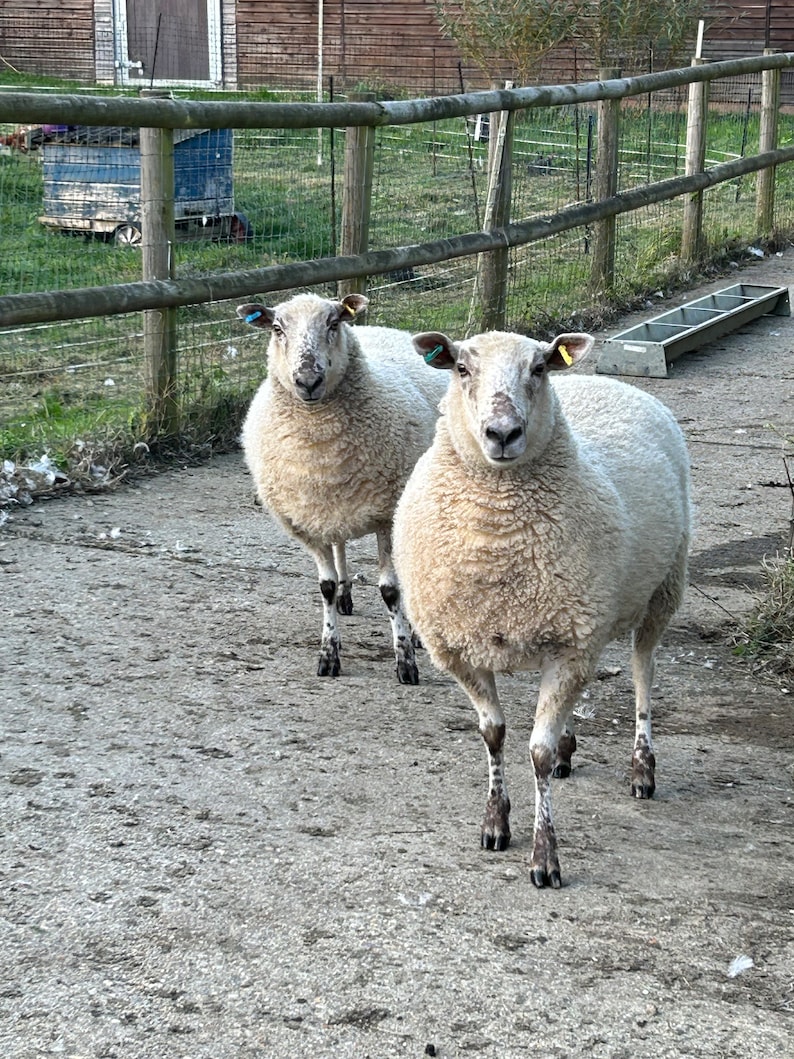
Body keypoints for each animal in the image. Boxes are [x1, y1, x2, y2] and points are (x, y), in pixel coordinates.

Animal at [237, 291, 448, 684]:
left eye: (333, 323)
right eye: (277, 328)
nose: (307, 380)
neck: (322, 445)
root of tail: (374, 326)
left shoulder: (386, 516)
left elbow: (390, 591)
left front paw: (405, 659)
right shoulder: (308, 520)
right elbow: (326, 586)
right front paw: (328, 653)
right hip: (334, 507)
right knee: (339, 545)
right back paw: (346, 596)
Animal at [392, 327, 691, 887]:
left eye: (538, 368)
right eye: (460, 368)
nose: (502, 433)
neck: (497, 536)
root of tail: (605, 381)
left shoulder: (570, 644)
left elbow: (537, 751)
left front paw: (544, 855)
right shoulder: (464, 648)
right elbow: (493, 734)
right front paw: (495, 822)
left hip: (663, 588)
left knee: (643, 673)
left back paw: (643, 768)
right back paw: (573, 751)